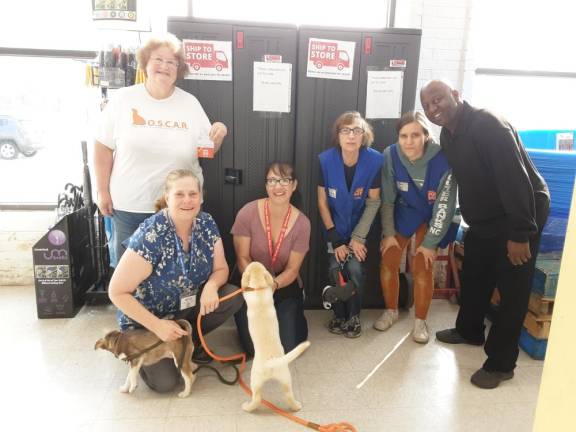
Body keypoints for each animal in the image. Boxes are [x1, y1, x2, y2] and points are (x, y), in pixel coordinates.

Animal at [240, 262, 310, 414]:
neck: (259, 289)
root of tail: (271, 362)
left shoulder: (248, 294)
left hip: (255, 378)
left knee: (257, 398)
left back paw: (247, 407)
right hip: (286, 377)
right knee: (288, 395)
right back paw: (297, 406)